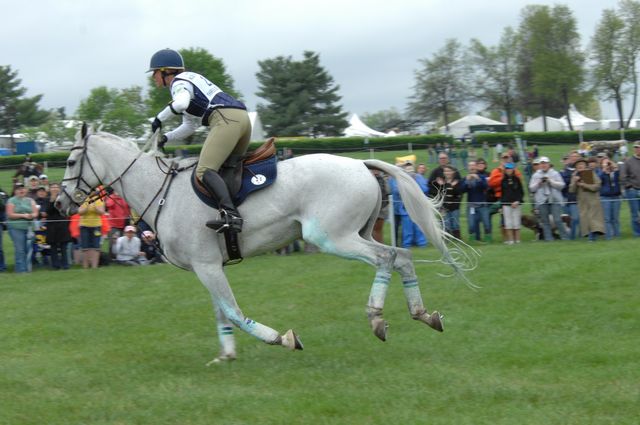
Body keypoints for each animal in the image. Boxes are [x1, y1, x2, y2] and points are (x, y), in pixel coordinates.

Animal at [56, 126, 476, 362]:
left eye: (72, 161)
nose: (60, 203)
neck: (162, 193)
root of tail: (361, 165)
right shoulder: (207, 266)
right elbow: (222, 312)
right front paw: (226, 356)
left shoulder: (207, 266)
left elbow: (234, 311)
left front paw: (282, 339)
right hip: (357, 232)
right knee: (402, 257)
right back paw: (424, 314)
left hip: (333, 236)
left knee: (388, 257)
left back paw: (376, 317)